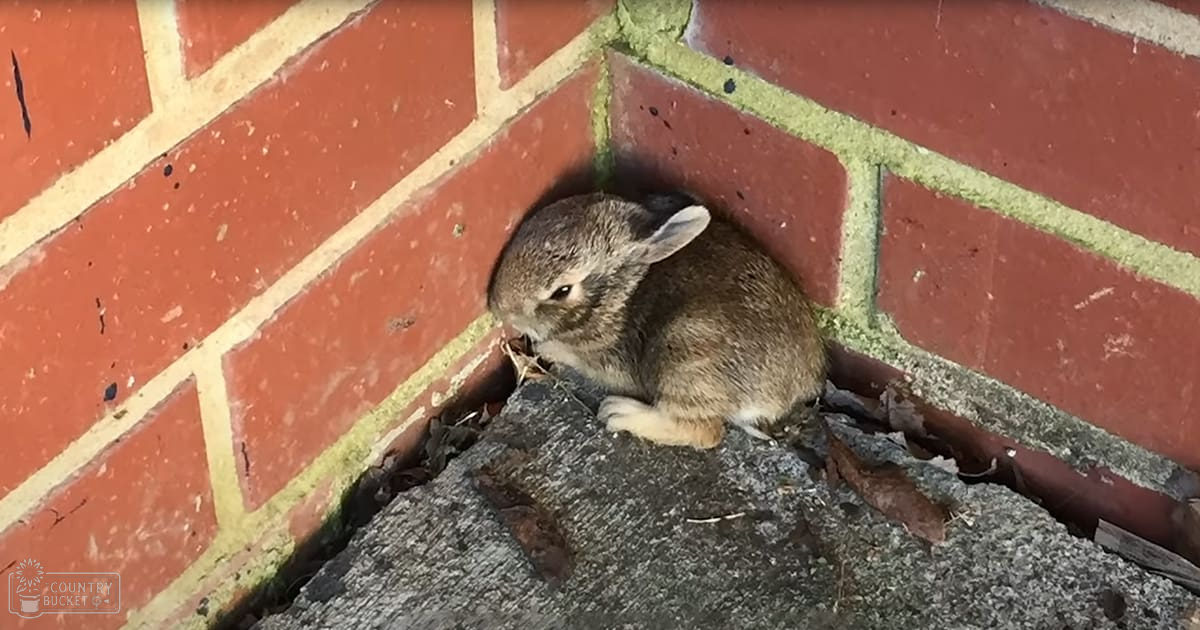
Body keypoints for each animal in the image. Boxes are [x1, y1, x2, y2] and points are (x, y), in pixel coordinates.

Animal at [487, 191, 827, 449]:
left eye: (563, 291)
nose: (499, 306)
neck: (623, 291)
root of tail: (789, 393)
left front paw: (547, 349)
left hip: (685, 353)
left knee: (705, 431)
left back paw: (619, 413)